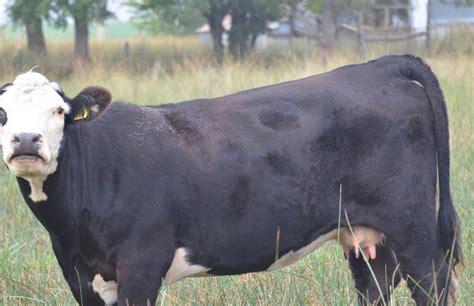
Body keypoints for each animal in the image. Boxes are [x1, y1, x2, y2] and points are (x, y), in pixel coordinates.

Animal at [0, 55, 462, 306]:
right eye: (2, 113)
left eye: (59, 111)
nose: (26, 140)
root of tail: (381, 66)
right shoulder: (81, 276)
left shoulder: (142, 264)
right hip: (367, 236)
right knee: (377, 286)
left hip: (412, 228)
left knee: (433, 285)